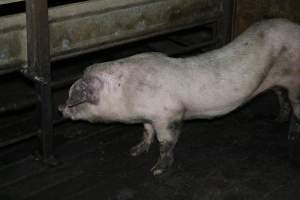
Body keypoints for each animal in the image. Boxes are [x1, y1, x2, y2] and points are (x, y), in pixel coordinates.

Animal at [59, 18, 300, 175]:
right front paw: (134, 152)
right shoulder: (148, 116)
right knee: (281, 95)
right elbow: (146, 132)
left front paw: (156, 170)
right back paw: (277, 120)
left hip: (296, 82)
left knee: (296, 107)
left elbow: (166, 142)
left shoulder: (169, 115)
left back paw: (291, 137)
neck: (127, 93)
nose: (61, 109)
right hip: (276, 83)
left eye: (75, 98)